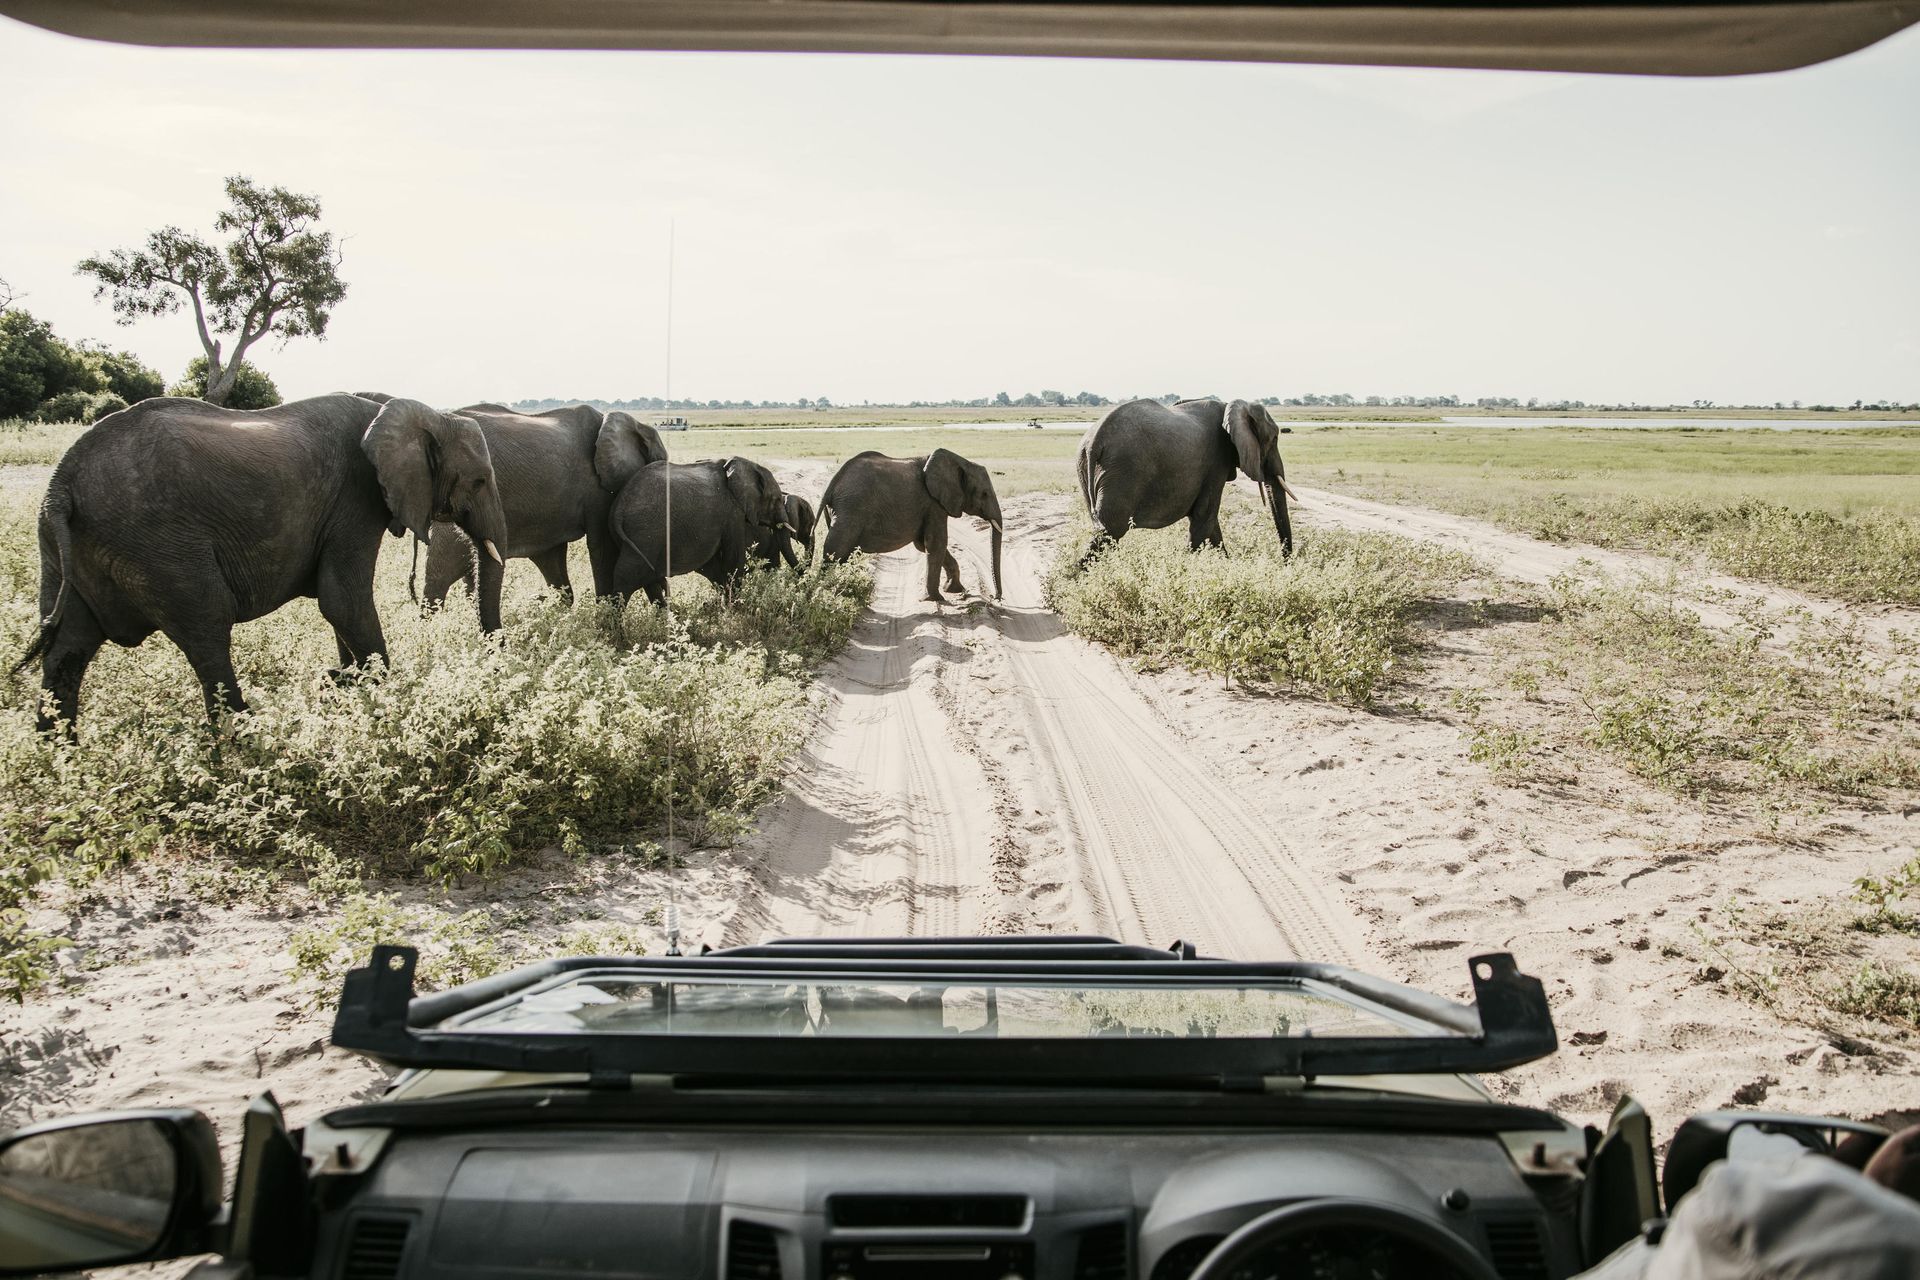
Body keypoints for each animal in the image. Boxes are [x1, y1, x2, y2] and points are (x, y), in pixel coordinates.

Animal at [18, 394, 507, 730]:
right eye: (480, 481)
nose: (498, 659)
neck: (414, 410)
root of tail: (61, 485)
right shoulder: (354, 501)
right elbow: (342, 601)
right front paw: (383, 696)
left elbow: (337, 607)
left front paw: (345, 684)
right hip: (160, 547)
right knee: (207, 628)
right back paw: (246, 735)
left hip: (64, 549)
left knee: (67, 648)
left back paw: (60, 755)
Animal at [606, 457, 789, 605]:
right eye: (777, 499)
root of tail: (619, 507)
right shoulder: (732, 512)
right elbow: (733, 559)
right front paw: (735, 606)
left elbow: (713, 565)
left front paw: (722, 604)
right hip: (645, 531)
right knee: (627, 579)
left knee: (645, 580)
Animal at [819, 448, 1003, 602]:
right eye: (984, 494)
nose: (996, 597)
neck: (961, 462)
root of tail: (832, 484)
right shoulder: (933, 503)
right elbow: (936, 543)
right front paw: (936, 599)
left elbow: (924, 545)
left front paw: (954, 590)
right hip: (850, 510)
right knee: (836, 550)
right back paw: (826, 592)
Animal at [1075, 396, 1296, 561]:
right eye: (1274, 438)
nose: (1285, 562)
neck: (1231, 405)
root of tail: (1095, 440)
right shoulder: (1216, 462)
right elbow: (1204, 516)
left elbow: (1210, 523)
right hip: (1124, 469)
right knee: (1111, 530)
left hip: (1086, 467)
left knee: (1103, 528)